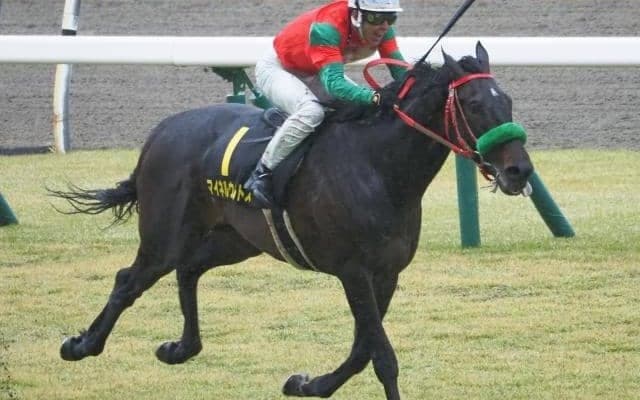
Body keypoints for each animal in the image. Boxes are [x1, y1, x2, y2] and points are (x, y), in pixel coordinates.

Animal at [50, 42, 533, 399]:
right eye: (473, 103)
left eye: (508, 101)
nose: (519, 172)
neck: (379, 167)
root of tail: (160, 131)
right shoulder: (354, 271)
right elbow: (381, 356)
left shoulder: (387, 273)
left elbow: (363, 350)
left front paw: (307, 384)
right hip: (164, 234)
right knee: (129, 279)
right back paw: (81, 345)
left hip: (236, 239)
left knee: (188, 270)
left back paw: (180, 348)